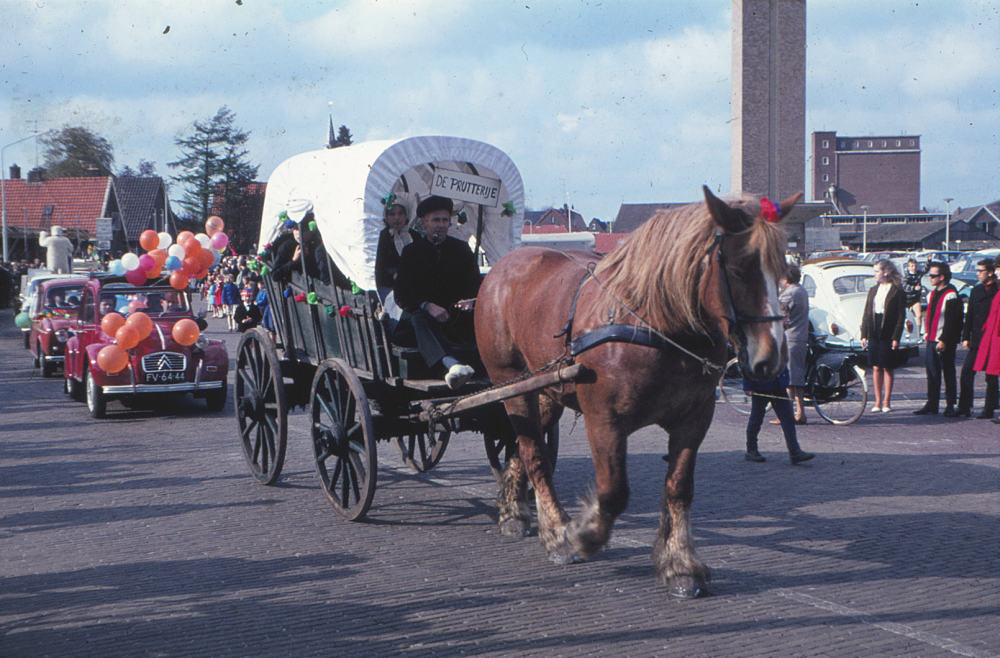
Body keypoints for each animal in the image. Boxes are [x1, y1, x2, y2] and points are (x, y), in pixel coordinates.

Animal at [472, 184, 800, 596]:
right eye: (739, 270)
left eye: (783, 271)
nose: (771, 358)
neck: (654, 322)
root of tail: (501, 267)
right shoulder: (604, 421)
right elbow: (613, 492)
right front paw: (582, 535)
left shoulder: (695, 418)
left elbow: (679, 487)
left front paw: (680, 563)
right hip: (512, 383)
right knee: (534, 454)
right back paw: (554, 531)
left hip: (545, 390)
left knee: (523, 443)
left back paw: (514, 512)